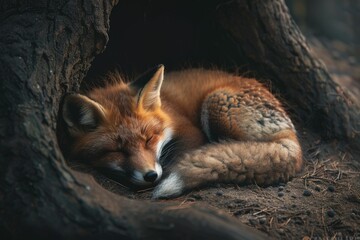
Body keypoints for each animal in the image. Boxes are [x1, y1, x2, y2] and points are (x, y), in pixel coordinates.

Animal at [60, 64, 302, 198]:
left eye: (149, 139)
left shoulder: (191, 131)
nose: (151, 176)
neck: (167, 108)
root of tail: (294, 143)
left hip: (216, 103)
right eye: (117, 151)